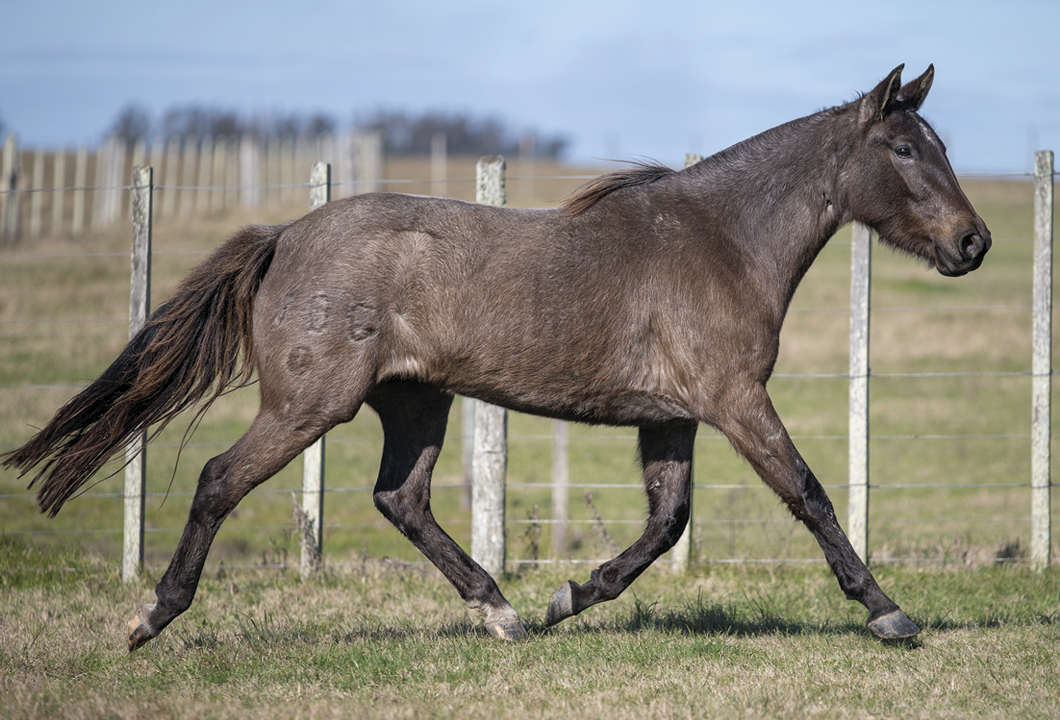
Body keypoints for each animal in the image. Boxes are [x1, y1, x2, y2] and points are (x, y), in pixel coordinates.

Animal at [2, 66, 992, 648]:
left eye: (941, 144)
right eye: (906, 147)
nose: (974, 243)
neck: (721, 241)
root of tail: (285, 236)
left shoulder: (675, 415)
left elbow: (666, 523)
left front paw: (569, 597)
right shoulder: (733, 399)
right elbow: (809, 495)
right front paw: (889, 611)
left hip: (414, 401)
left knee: (400, 499)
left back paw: (503, 611)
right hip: (309, 405)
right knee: (218, 479)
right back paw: (149, 618)